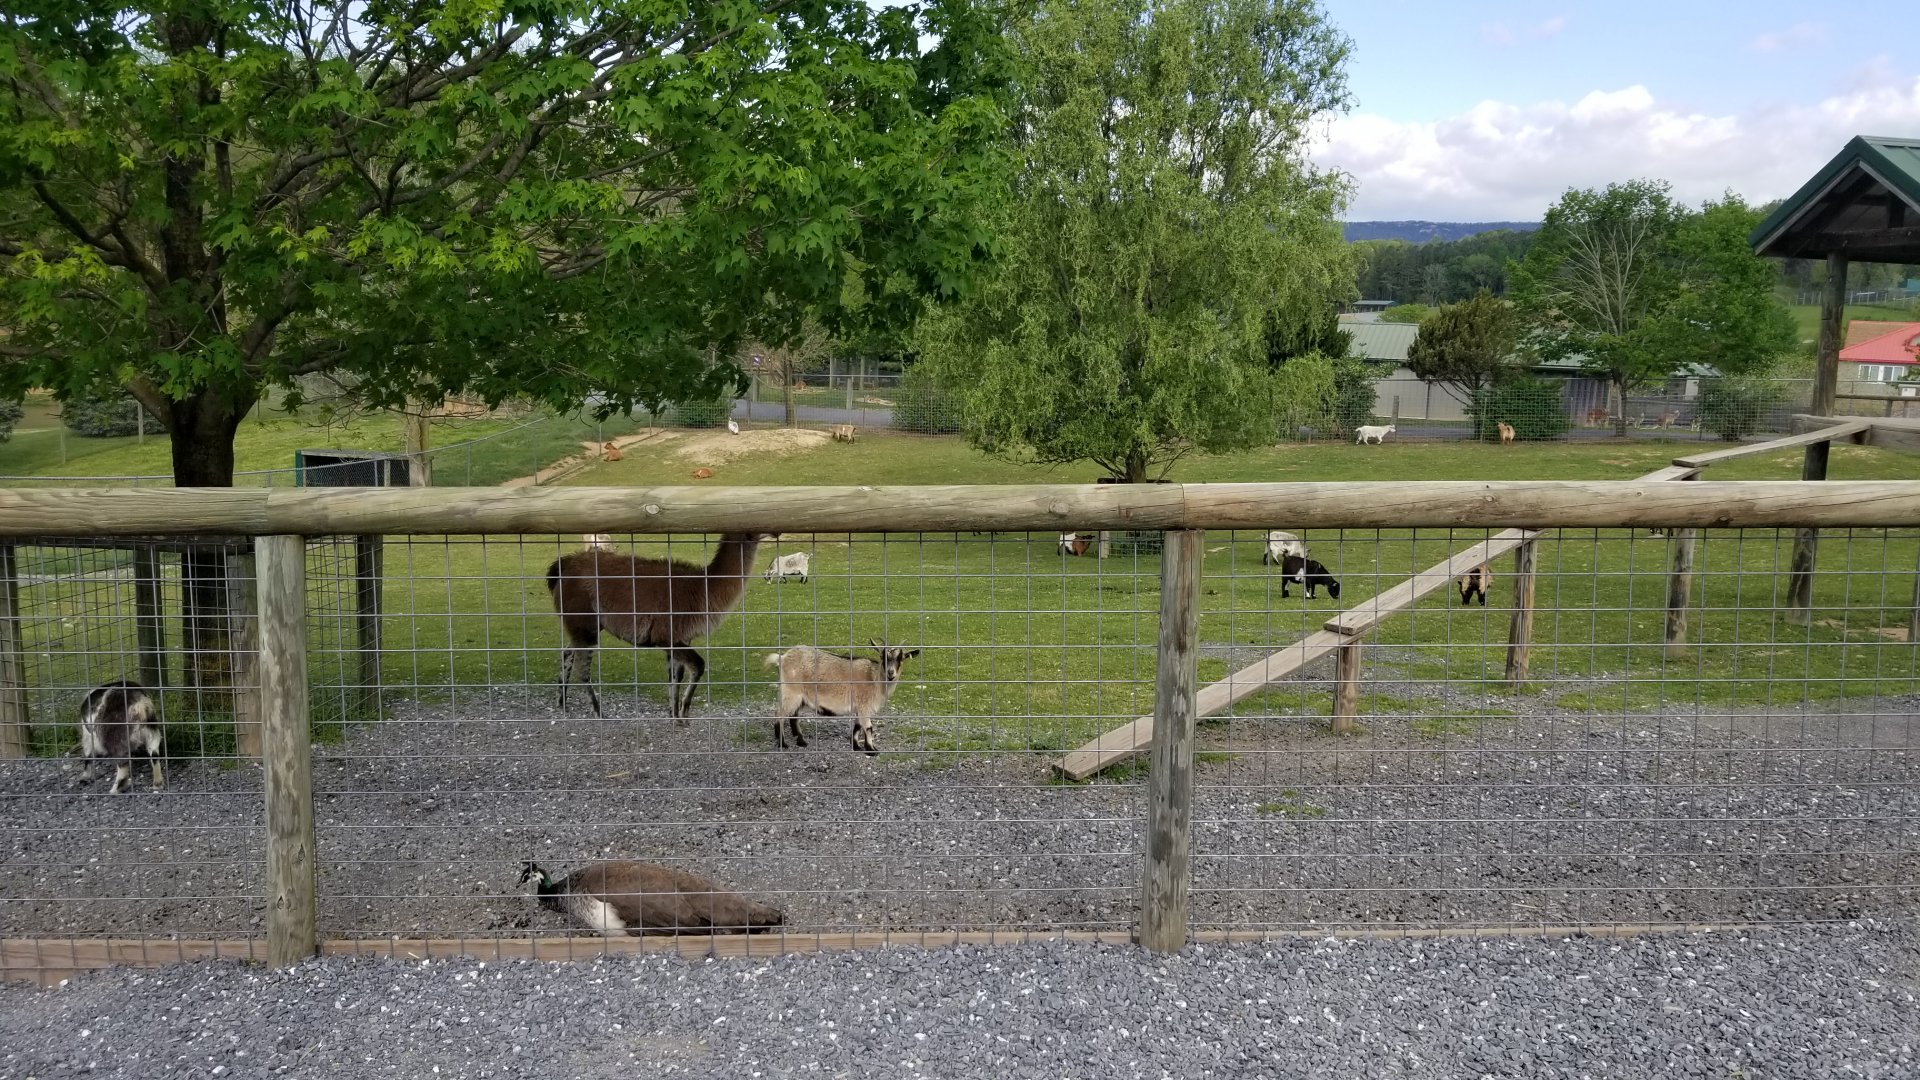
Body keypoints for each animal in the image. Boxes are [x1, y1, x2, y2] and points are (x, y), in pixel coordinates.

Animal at [546, 533, 769, 720]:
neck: (702, 588)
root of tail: (566, 564)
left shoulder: (681, 638)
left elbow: (675, 676)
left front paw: (673, 713)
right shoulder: (667, 635)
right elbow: (698, 665)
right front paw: (683, 711)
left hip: (586, 624)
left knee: (567, 652)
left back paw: (562, 701)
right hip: (583, 619)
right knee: (582, 669)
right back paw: (598, 711)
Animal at [764, 641, 919, 755]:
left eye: (901, 658)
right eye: (883, 657)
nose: (891, 673)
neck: (875, 679)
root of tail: (782, 658)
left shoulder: (859, 708)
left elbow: (857, 727)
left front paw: (856, 746)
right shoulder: (864, 706)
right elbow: (868, 727)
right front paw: (872, 750)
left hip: (798, 696)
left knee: (793, 716)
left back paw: (801, 741)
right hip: (791, 692)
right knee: (780, 714)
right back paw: (782, 743)